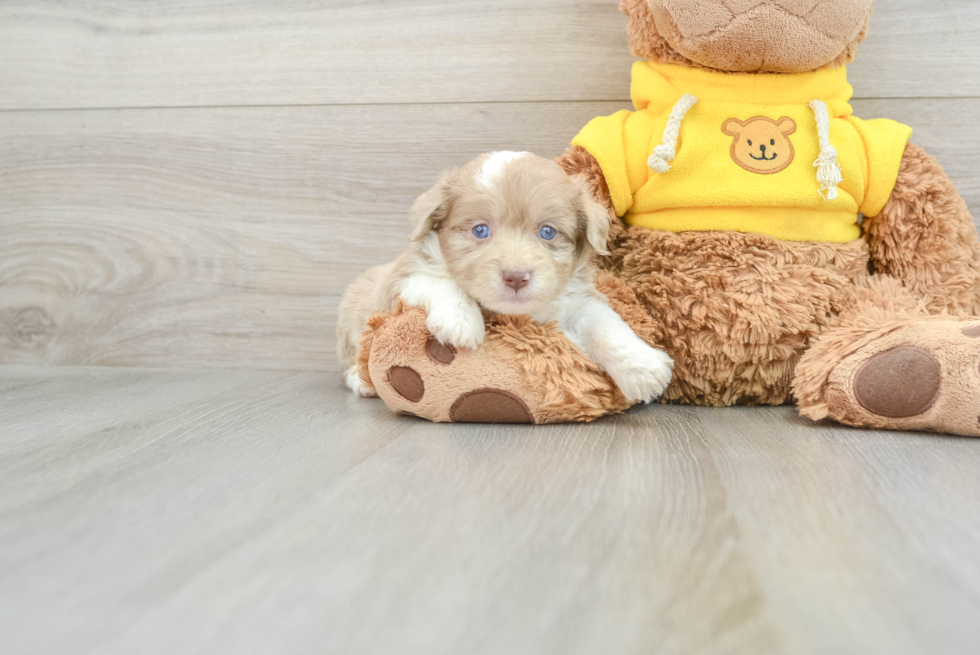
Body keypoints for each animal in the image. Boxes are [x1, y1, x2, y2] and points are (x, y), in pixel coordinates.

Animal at [336, 152, 672, 404]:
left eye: (547, 232)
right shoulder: (402, 278)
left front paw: (643, 367)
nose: (516, 277)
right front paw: (461, 322)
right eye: (480, 230)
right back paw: (361, 380)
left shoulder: (577, 301)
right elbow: (439, 279)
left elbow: (606, 324)